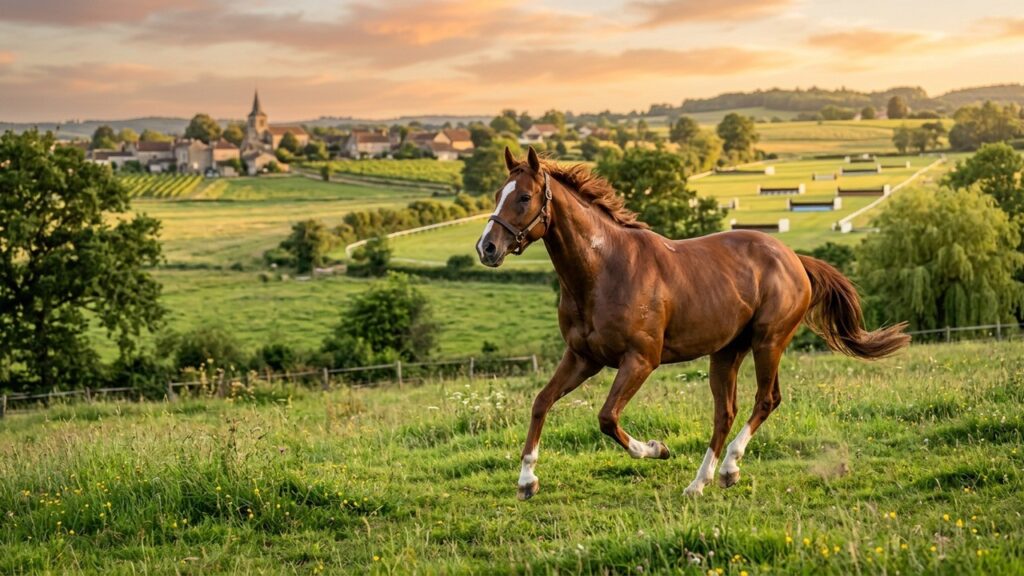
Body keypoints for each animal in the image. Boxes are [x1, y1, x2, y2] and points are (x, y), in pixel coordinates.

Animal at [476, 147, 910, 500]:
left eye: (524, 197)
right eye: (497, 195)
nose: (487, 248)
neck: (602, 271)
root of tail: (793, 258)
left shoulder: (640, 360)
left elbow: (607, 418)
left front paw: (657, 448)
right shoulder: (583, 358)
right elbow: (541, 402)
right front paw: (527, 481)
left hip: (768, 342)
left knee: (765, 400)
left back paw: (729, 469)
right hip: (726, 353)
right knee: (726, 413)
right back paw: (701, 482)